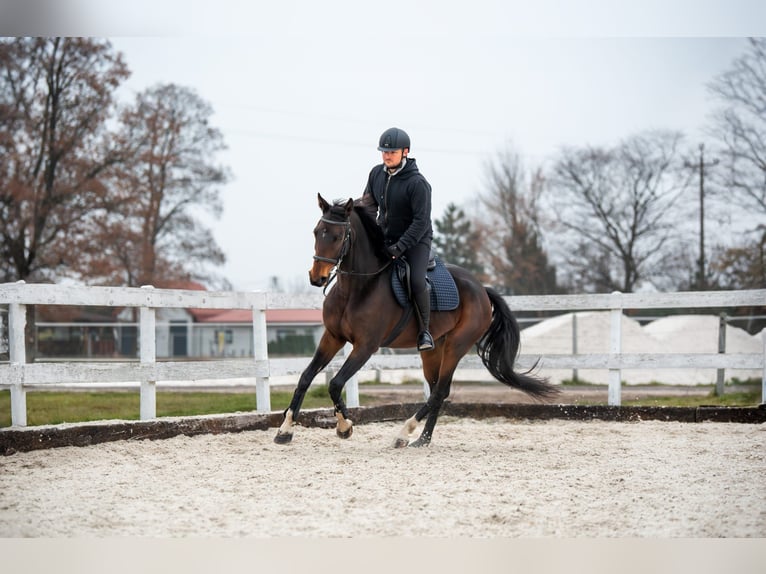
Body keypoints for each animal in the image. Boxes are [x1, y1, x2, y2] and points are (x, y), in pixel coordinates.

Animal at [274, 195, 560, 450]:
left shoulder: (365, 347)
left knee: (439, 392)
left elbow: (335, 384)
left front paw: (345, 427)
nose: (317, 278)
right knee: (437, 392)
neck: (357, 289)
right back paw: (422, 440)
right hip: (432, 351)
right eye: (316, 232)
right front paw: (285, 430)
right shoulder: (332, 337)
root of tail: (481, 289)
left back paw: (404, 433)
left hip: (456, 346)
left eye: (337, 236)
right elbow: (306, 377)